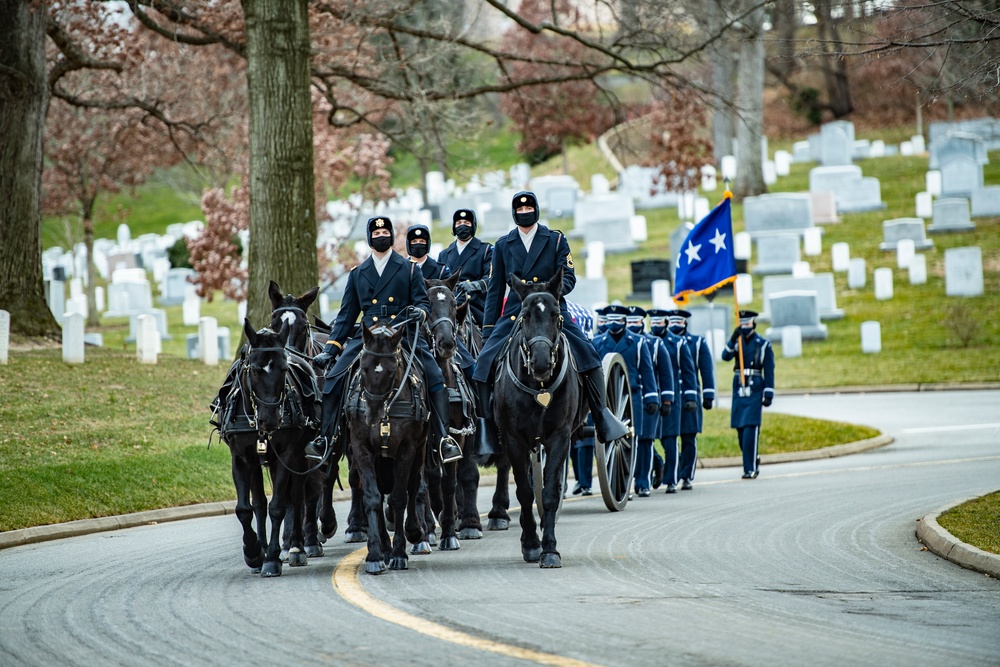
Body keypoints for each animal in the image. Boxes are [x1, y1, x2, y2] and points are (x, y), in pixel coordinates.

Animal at [219, 320, 320, 576]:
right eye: (254, 370)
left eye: (284, 370)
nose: (271, 419)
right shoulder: (241, 458)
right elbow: (245, 508)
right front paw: (254, 552)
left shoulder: (286, 455)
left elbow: (278, 507)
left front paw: (272, 558)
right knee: (259, 504)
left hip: (298, 458)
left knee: (296, 498)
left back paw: (296, 548)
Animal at [346, 324, 428, 576]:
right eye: (363, 367)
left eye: (392, 371)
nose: (372, 416)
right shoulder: (361, 448)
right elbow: (372, 498)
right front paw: (374, 554)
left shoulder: (407, 448)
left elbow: (399, 497)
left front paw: (400, 553)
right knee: (379, 493)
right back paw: (384, 546)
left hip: (418, 451)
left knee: (414, 485)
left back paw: (414, 532)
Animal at [490, 268, 584, 568]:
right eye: (524, 316)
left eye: (555, 314)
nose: (541, 363)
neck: (540, 386)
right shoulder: (513, 439)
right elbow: (525, 491)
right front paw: (531, 544)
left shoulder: (559, 437)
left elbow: (550, 492)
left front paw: (550, 548)